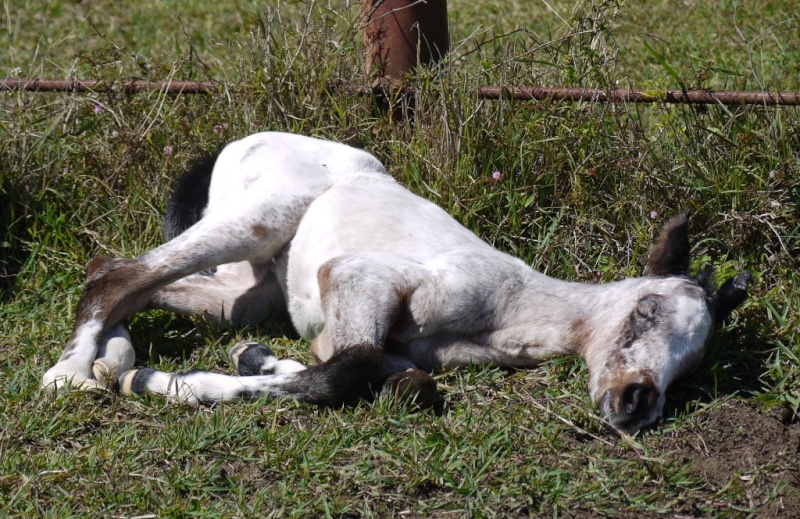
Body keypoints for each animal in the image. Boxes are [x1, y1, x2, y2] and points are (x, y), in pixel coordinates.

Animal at [43, 131, 752, 434]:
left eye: (693, 366)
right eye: (647, 309)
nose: (637, 403)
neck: (513, 312)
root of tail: (238, 140)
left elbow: (401, 382)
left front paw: (255, 360)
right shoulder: (358, 275)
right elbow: (345, 369)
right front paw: (175, 385)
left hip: (252, 286)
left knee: (120, 273)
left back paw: (113, 359)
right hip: (261, 217)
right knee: (120, 274)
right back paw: (76, 373)